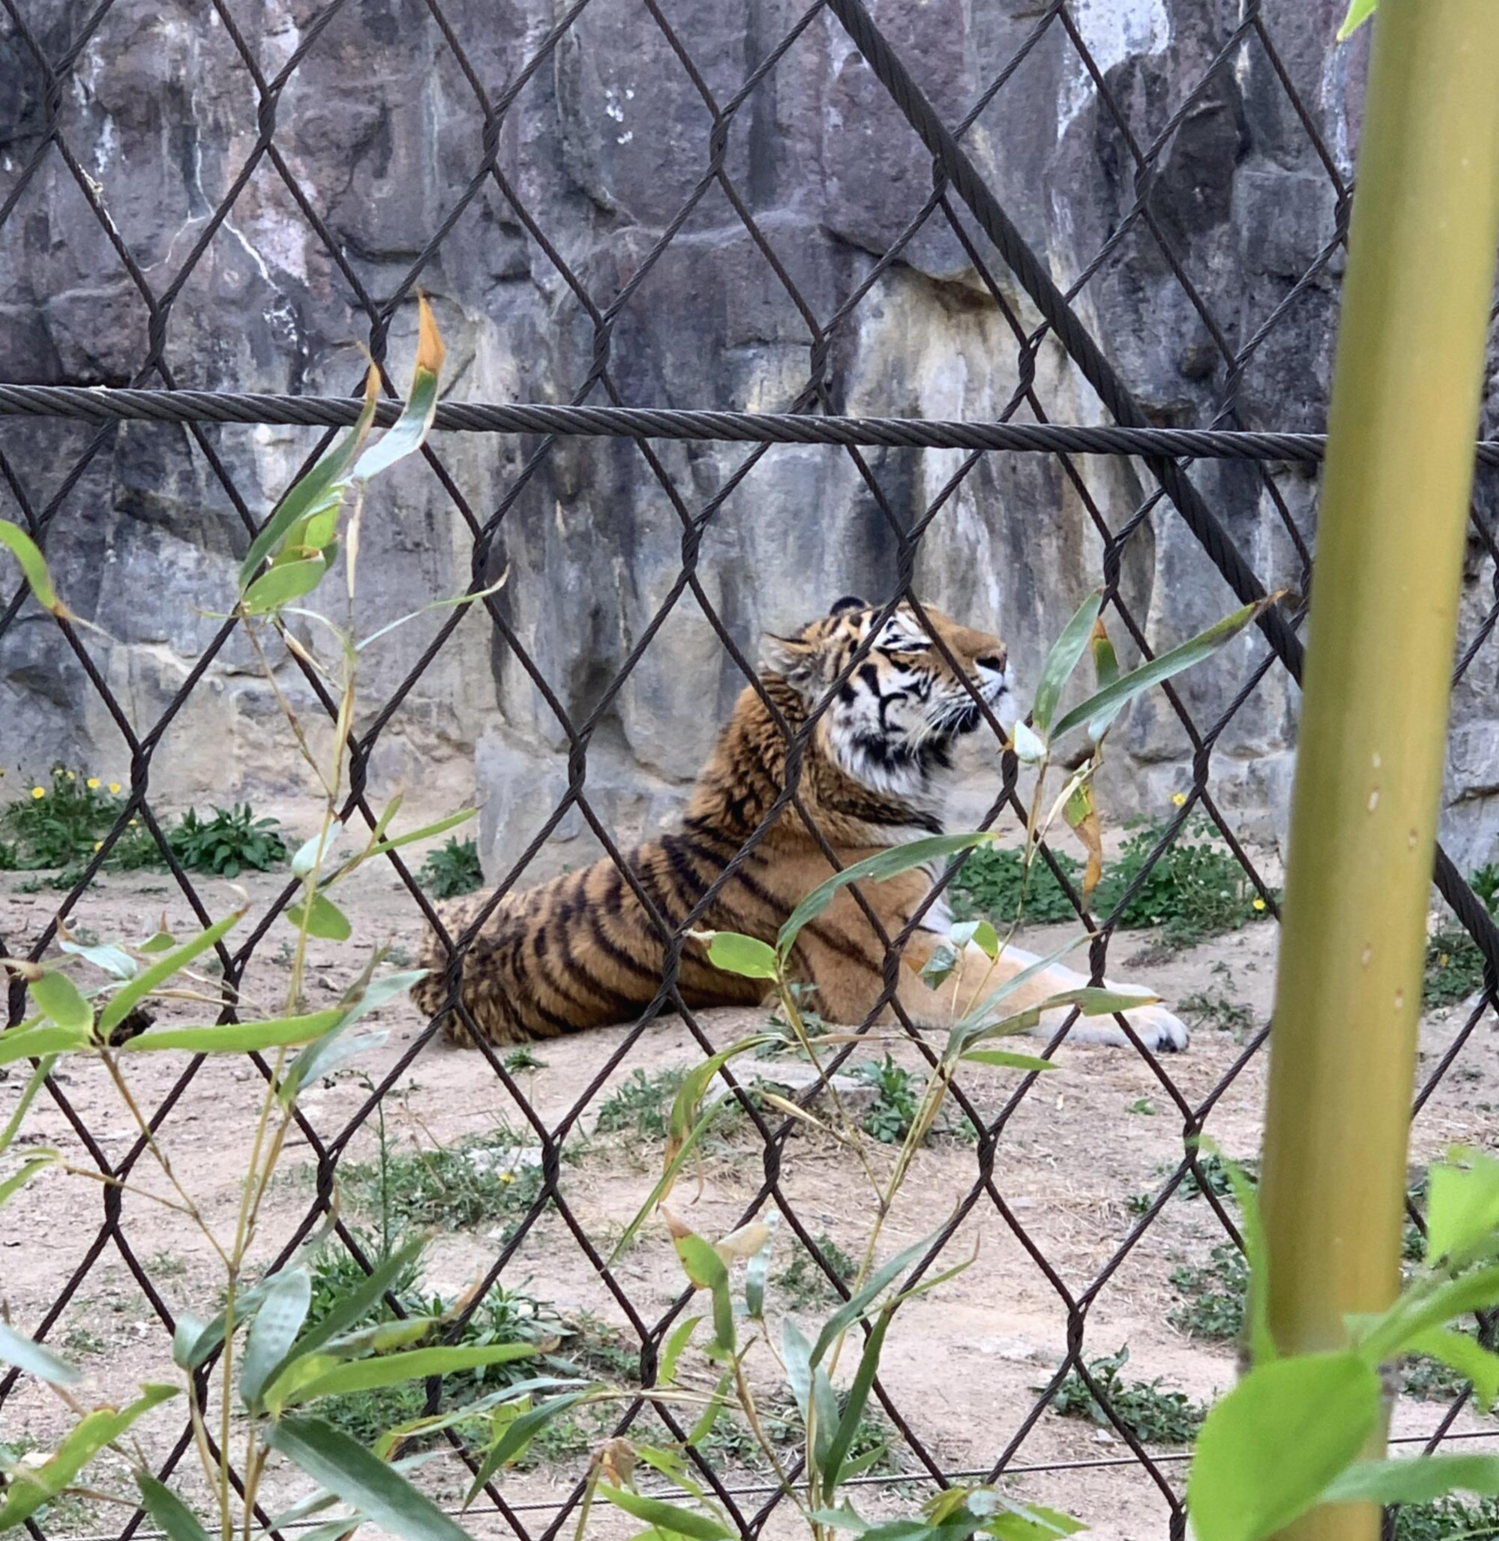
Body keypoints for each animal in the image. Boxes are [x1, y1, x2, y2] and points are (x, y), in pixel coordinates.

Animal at [406, 594, 1183, 1054]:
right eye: (909, 644)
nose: (1001, 655)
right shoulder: (893, 969)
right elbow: (1024, 985)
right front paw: (1150, 1016)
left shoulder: (936, 926)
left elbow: (1030, 963)